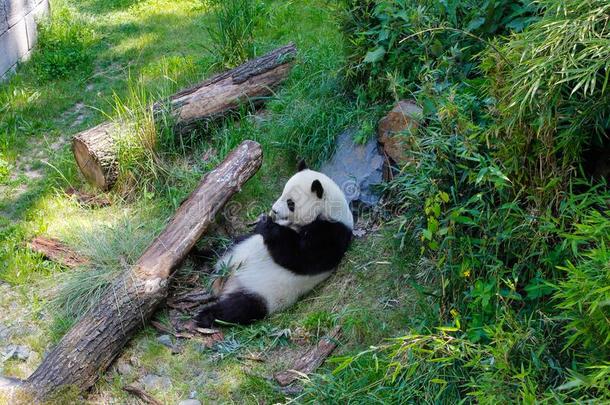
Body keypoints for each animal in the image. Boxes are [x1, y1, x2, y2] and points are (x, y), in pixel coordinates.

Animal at [192, 159, 350, 326]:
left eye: (291, 203)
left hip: (263, 294)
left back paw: (204, 316)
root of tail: (228, 283)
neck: (329, 210)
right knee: (220, 251)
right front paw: (264, 221)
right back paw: (199, 255)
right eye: (282, 193)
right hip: (236, 251)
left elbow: (300, 257)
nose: (274, 210)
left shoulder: (332, 234)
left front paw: (266, 223)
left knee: (236, 309)